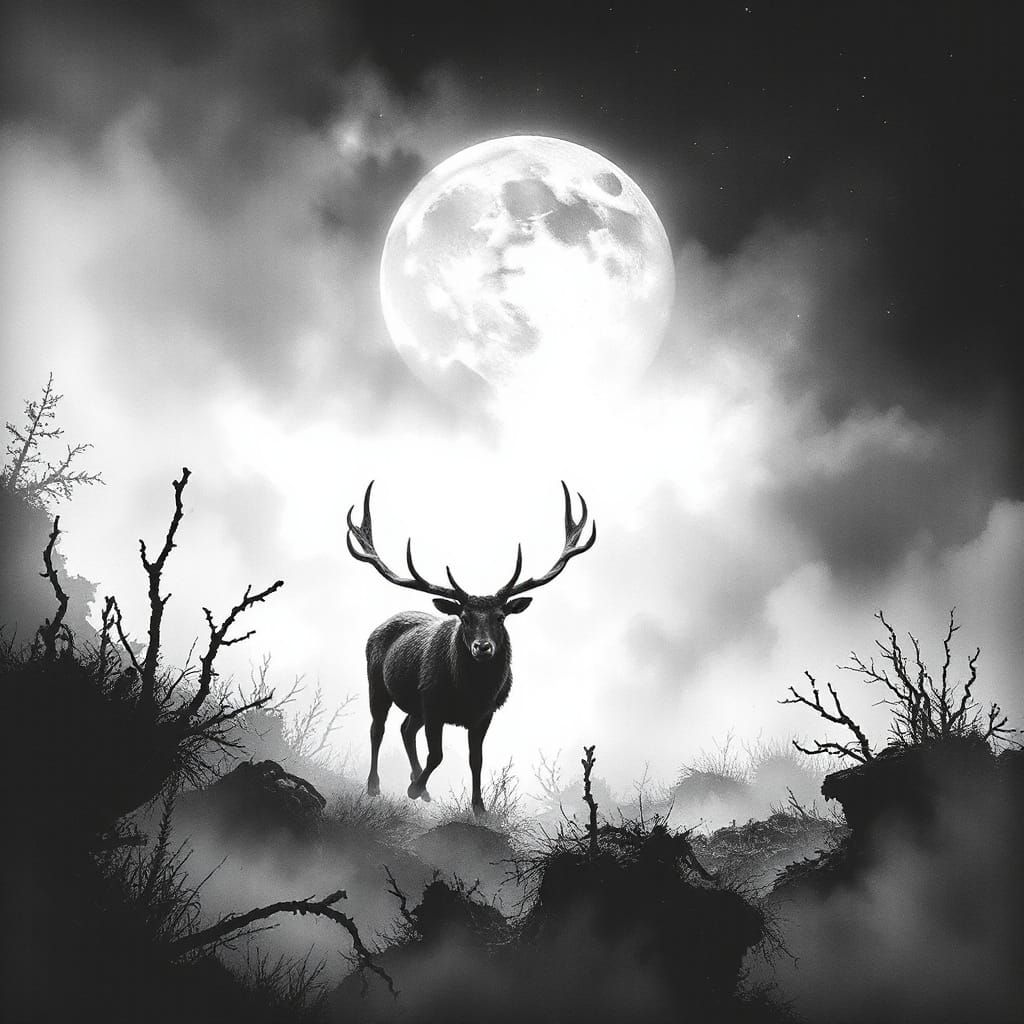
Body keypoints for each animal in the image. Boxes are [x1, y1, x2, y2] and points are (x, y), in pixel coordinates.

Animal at [346, 480, 596, 816]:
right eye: (464, 617)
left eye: (500, 616)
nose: (482, 647)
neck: (470, 693)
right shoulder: (434, 702)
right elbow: (437, 755)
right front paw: (414, 789)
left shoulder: (484, 713)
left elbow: (476, 760)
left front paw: (478, 808)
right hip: (377, 683)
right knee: (378, 729)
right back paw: (376, 786)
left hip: (415, 704)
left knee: (406, 729)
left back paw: (420, 785)